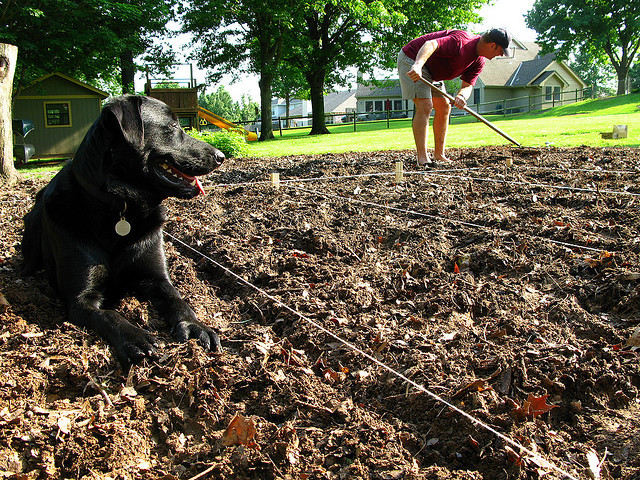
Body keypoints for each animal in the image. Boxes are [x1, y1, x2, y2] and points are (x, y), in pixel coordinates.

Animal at [21, 94, 225, 366]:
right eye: (172, 127)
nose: (221, 156)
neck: (121, 206)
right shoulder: (80, 301)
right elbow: (109, 315)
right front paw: (135, 337)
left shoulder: (156, 278)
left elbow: (178, 300)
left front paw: (195, 325)